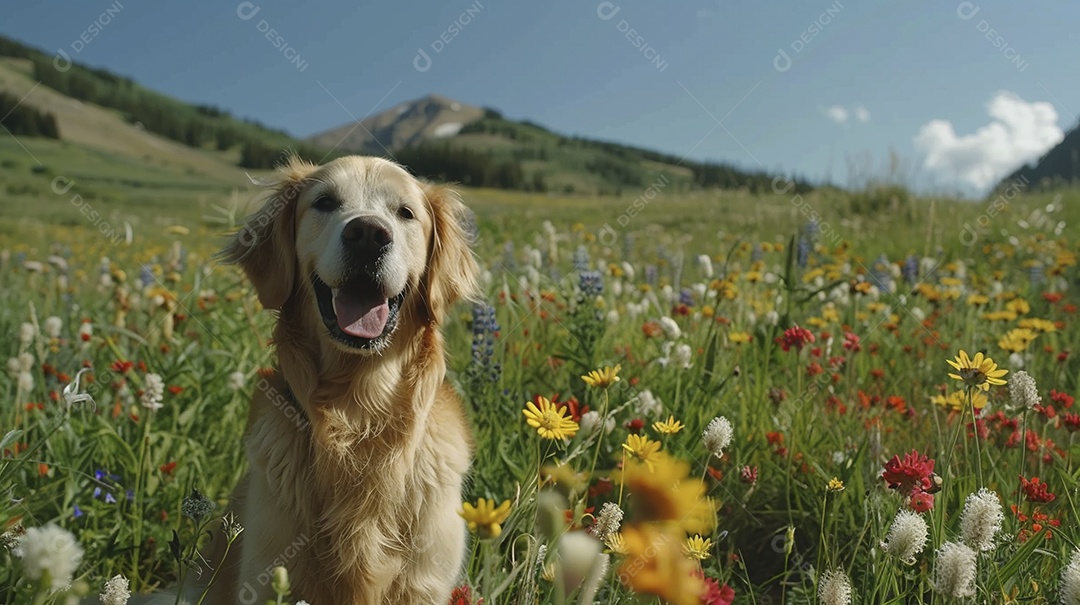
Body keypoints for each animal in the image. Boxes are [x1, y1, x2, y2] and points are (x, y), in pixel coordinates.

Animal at [199, 154, 477, 605]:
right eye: (325, 202)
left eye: (405, 213)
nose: (368, 235)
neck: (358, 410)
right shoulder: (268, 574)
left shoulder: (425, 583)